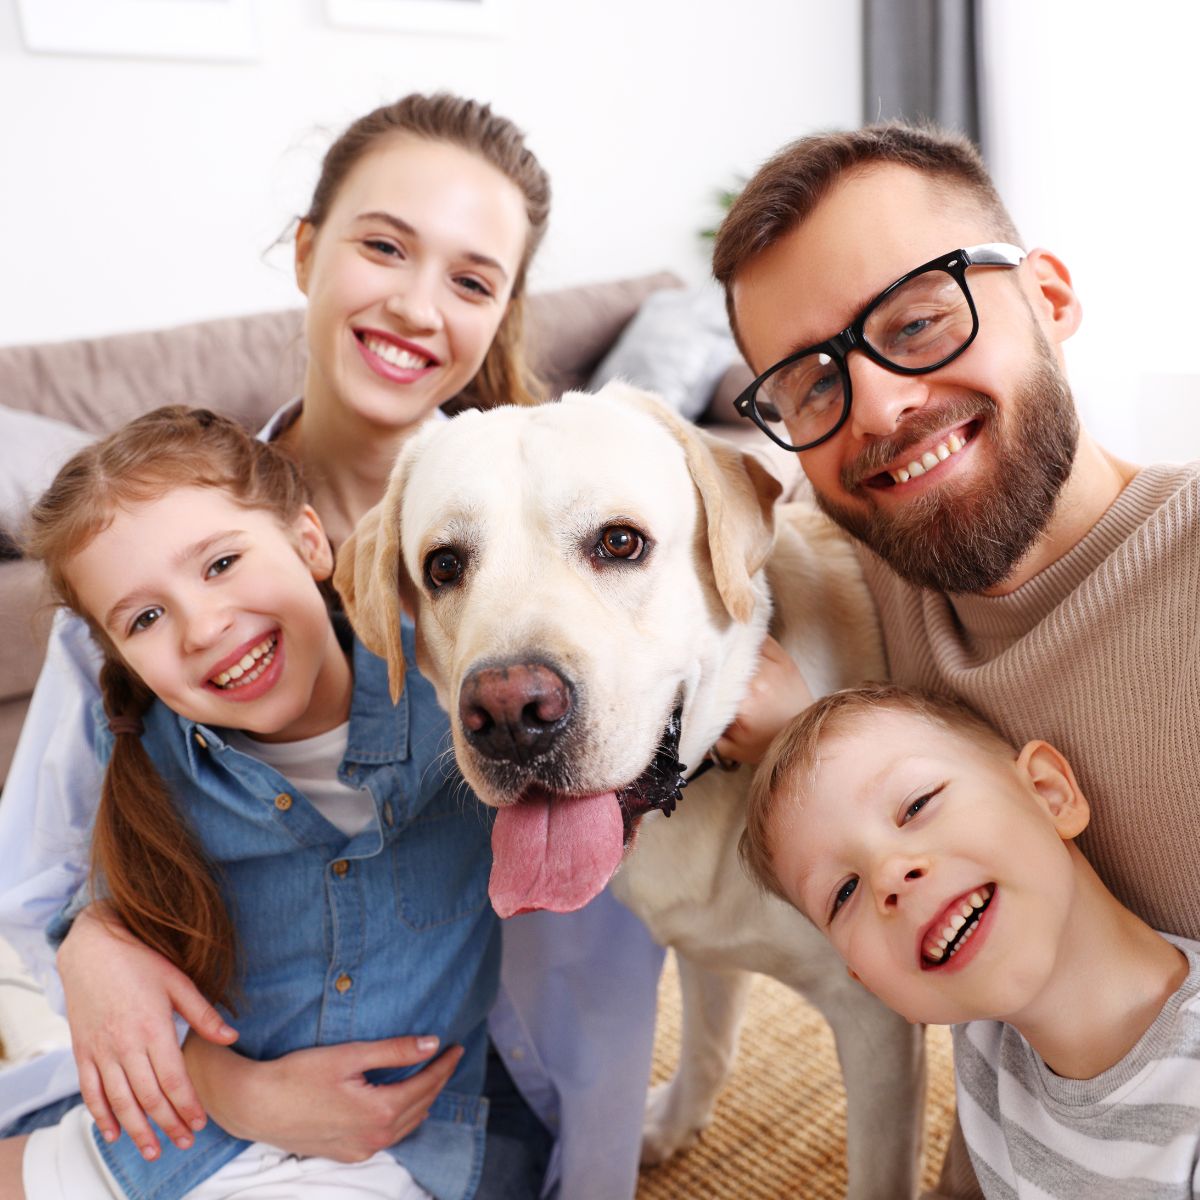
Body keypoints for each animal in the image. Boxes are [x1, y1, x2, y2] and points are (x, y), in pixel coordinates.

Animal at [338, 379, 926, 1195]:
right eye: (444, 566)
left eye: (620, 543)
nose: (510, 715)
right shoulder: (705, 947)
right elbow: (708, 1042)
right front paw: (675, 1126)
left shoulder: (878, 1028)